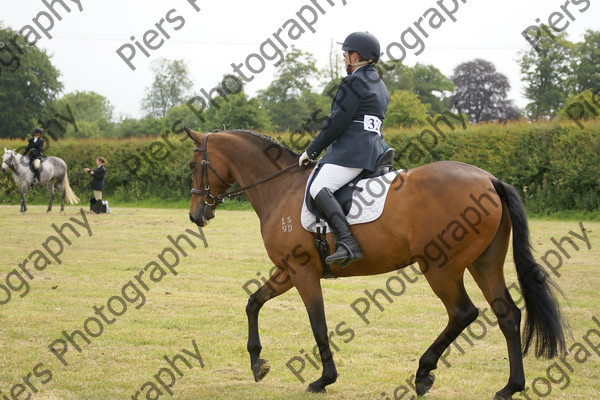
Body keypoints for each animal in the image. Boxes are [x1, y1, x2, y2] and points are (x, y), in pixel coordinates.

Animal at [184, 128, 568, 400]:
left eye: (192, 165)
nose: (197, 215)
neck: (281, 188)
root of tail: (489, 179)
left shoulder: (303, 271)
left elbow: (318, 324)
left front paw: (323, 379)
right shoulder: (287, 271)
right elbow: (254, 302)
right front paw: (257, 363)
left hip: (440, 267)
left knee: (463, 313)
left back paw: (423, 373)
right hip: (483, 264)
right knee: (508, 315)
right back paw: (510, 387)